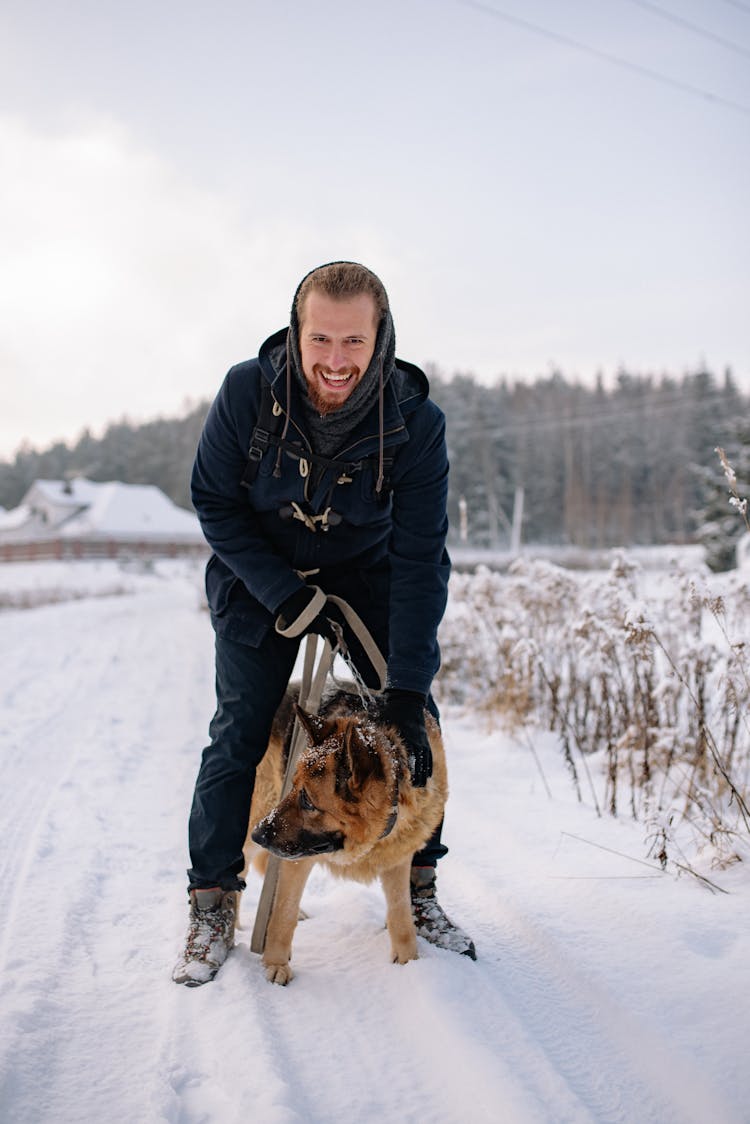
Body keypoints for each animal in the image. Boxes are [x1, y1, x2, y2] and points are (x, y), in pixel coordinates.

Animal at [244, 683, 449, 984]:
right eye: (293, 787)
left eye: (307, 800)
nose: (259, 835)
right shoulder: (298, 858)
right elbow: (284, 913)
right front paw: (275, 963)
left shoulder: (398, 860)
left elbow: (401, 916)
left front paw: (409, 962)